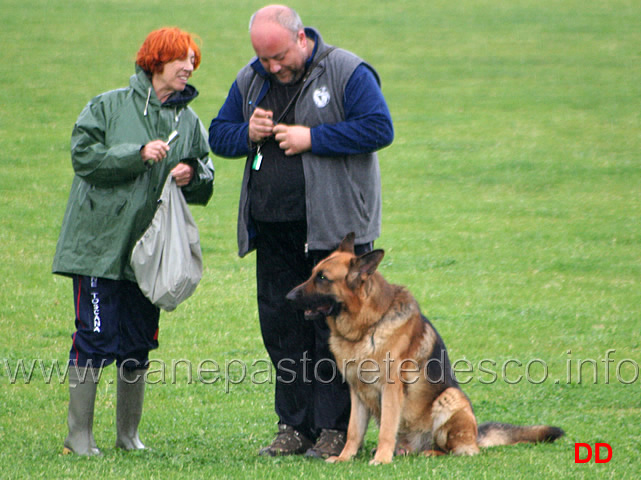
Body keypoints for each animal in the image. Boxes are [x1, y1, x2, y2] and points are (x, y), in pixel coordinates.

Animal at [288, 234, 564, 464]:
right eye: (313, 273)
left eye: (322, 278)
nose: (288, 297)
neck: (367, 327)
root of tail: (476, 436)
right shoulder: (357, 392)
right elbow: (353, 431)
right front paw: (344, 458)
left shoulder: (390, 389)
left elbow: (386, 429)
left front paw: (381, 459)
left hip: (451, 398)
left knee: (458, 450)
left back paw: (430, 452)